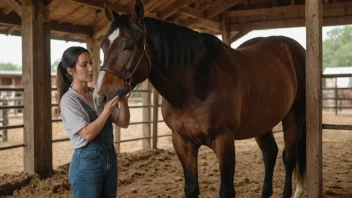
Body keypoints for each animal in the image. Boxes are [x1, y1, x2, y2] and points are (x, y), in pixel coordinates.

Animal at [92, 0, 306, 197]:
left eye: (128, 45)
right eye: (102, 45)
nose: (100, 97)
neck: (196, 85)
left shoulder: (223, 140)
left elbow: (226, 191)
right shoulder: (182, 142)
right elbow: (191, 188)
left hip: (293, 117)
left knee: (289, 158)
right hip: (261, 124)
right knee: (270, 154)